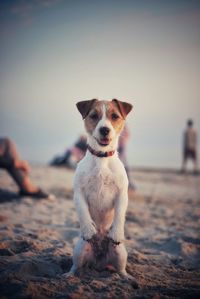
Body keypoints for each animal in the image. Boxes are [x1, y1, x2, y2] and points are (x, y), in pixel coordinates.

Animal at [66, 99, 134, 280]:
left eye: (115, 116)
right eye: (94, 115)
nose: (104, 129)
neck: (102, 158)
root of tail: (99, 264)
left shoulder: (122, 193)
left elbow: (120, 214)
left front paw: (116, 232)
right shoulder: (79, 192)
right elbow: (83, 211)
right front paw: (89, 230)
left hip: (120, 253)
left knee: (120, 269)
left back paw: (127, 278)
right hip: (79, 250)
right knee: (75, 266)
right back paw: (68, 275)